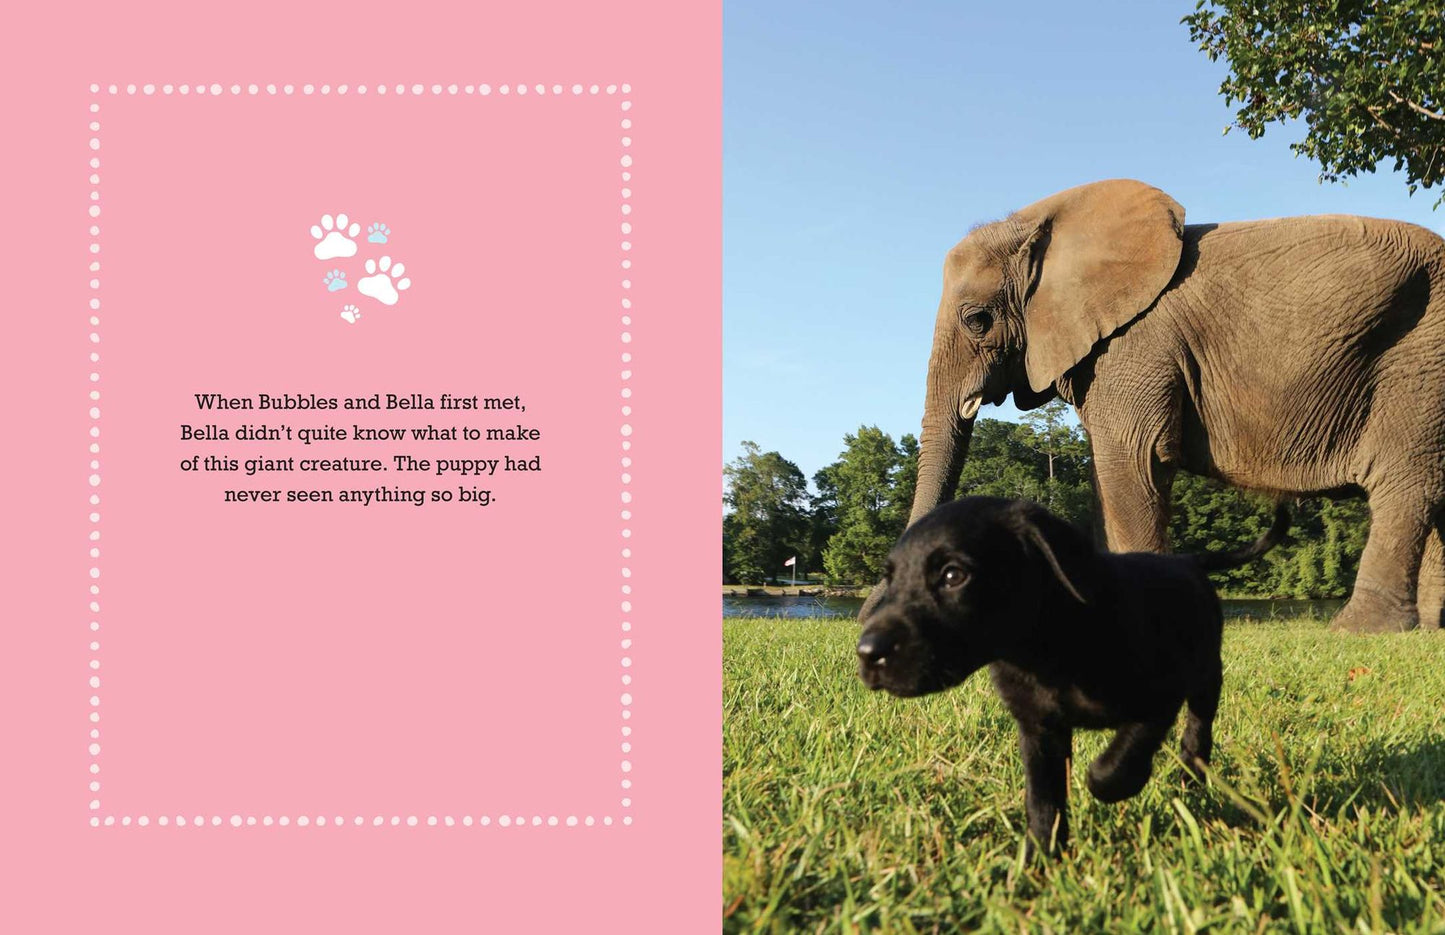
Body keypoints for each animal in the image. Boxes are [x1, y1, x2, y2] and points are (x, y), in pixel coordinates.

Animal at [878, 179, 1445, 633]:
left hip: (1417, 355)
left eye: (977, 320)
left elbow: (1132, 461)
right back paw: (1429, 629)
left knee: (1403, 487)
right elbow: (1104, 476)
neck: (1041, 222)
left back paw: (1360, 630)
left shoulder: (1137, 345)